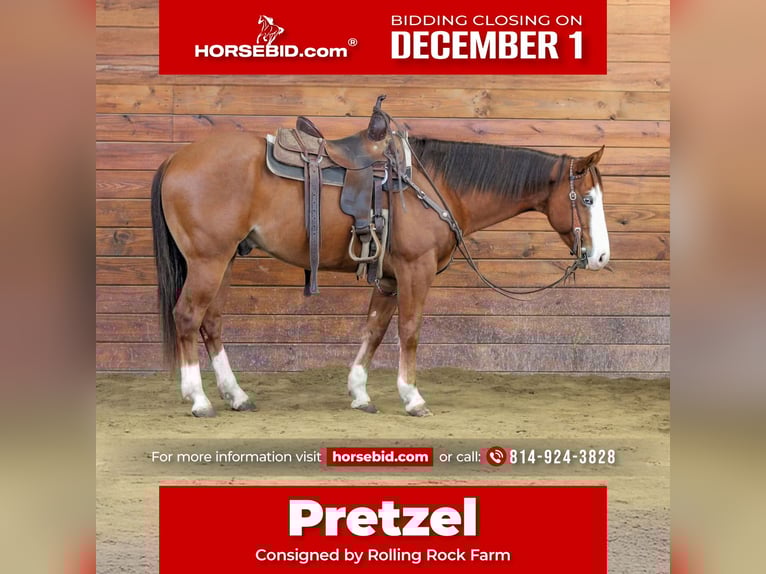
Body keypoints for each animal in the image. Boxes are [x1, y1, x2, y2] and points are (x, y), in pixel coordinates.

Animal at [150, 118, 610, 418]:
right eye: (587, 199)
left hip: (224, 260)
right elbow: (409, 329)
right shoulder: (414, 270)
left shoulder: (388, 277)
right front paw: (413, 397)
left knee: (211, 322)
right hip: (208, 261)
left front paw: (360, 393)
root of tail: (175, 159)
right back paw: (199, 399)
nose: (601, 257)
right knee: (187, 317)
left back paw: (237, 395)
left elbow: (374, 328)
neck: (433, 183)